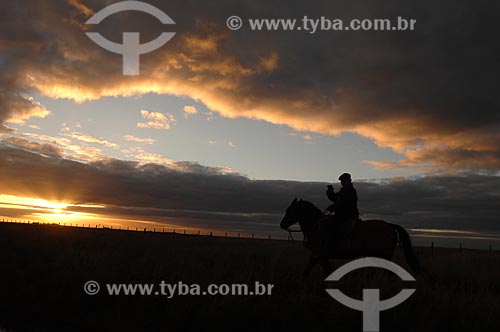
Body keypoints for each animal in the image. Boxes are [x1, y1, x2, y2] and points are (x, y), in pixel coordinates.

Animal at [280, 198, 420, 278]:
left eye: (289, 210)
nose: (282, 224)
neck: (315, 226)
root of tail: (389, 225)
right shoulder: (319, 257)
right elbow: (316, 272)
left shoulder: (318, 255)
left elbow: (310, 272)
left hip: (382, 256)